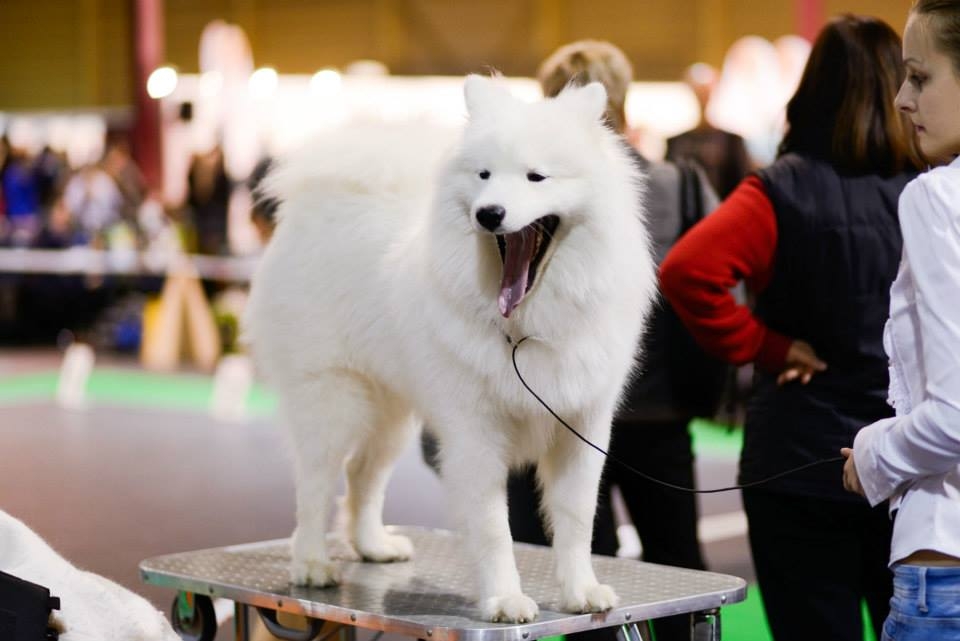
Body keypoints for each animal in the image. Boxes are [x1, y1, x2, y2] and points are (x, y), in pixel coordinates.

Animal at [244, 74, 656, 620]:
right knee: (315, 484)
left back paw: (374, 546)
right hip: (331, 398)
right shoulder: (475, 432)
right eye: (484, 175)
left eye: (536, 178)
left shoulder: (581, 424)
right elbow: (494, 528)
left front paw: (580, 592)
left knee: (362, 474)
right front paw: (505, 599)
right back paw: (311, 564)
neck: (528, 324)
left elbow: (576, 518)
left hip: (392, 410)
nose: (490, 213)